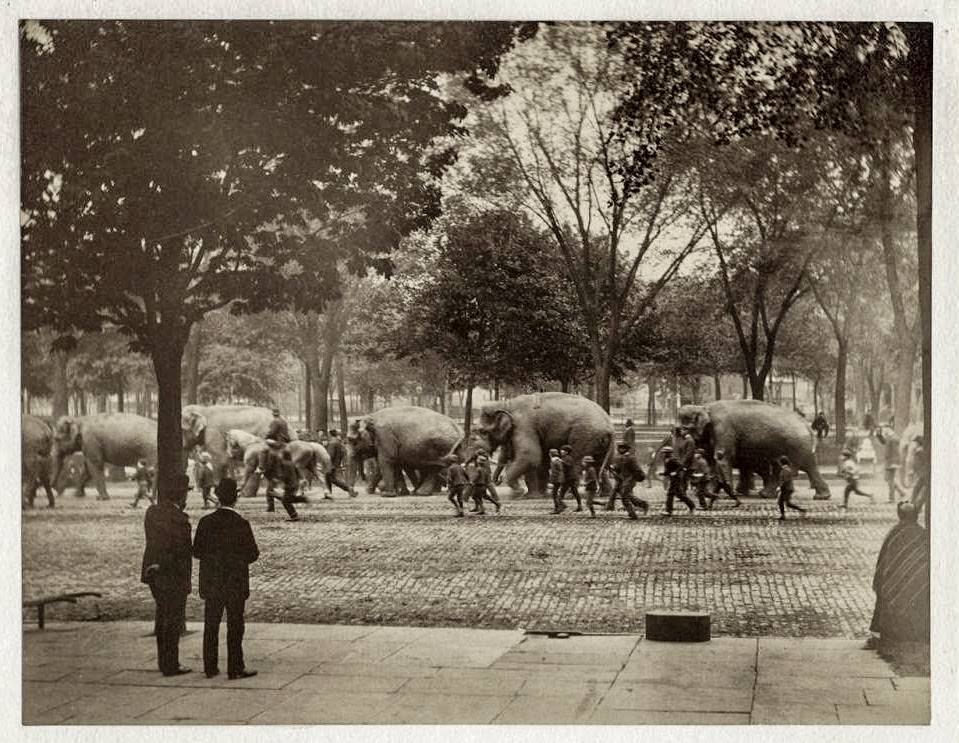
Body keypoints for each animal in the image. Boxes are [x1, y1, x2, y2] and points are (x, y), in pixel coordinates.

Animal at [452, 390, 616, 500]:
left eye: (481, 432)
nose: (497, 480)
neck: (507, 404)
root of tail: (609, 426)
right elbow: (539, 460)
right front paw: (535, 495)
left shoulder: (524, 425)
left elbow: (530, 456)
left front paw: (518, 493)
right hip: (598, 440)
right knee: (599, 463)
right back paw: (602, 494)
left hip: (584, 435)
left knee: (576, 460)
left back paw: (570, 494)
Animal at [676, 402, 832, 500]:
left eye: (685, 428)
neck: (704, 406)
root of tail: (807, 426)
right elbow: (711, 460)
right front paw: (710, 492)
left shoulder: (723, 430)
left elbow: (721, 457)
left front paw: (726, 495)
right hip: (800, 448)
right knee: (806, 467)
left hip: (795, 445)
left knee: (795, 468)